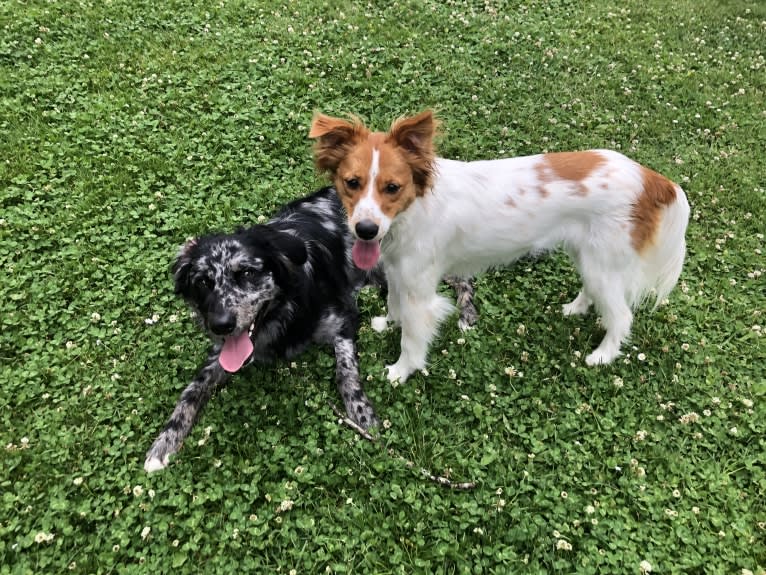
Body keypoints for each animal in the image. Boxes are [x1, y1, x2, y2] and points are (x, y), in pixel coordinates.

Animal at [144, 188, 384, 472]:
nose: (221, 325)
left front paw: (361, 412)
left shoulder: (343, 318)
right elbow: (191, 390)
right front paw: (165, 440)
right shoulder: (219, 354)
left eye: (247, 272)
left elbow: (345, 372)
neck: (282, 312)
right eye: (202, 282)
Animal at [308, 112, 692, 382]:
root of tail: (650, 177)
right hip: (591, 258)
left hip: (603, 263)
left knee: (622, 316)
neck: (414, 207)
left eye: (392, 188)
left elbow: (412, 338)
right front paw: (388, 323)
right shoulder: (399, 271)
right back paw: (577, 308)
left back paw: (602, 355)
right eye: (352, 183)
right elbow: (394, 304)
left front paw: (401, 371)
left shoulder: (420, 291)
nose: (366, 230)